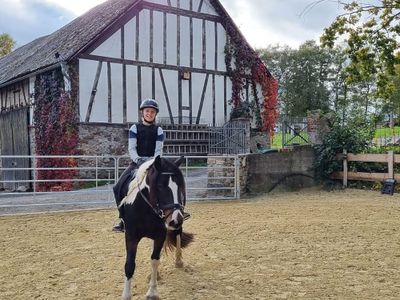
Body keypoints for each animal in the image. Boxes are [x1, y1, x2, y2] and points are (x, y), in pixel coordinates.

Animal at [119, 156, 194, 298]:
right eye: (159, 186)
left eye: (179, 187)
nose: (175, 220)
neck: (146, 210)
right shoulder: (131, 236)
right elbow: (129, 264)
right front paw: (126, 295)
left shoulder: (160, 235)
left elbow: (155, 260)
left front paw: (152, 292)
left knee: (177, 235)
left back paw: (178, 261)